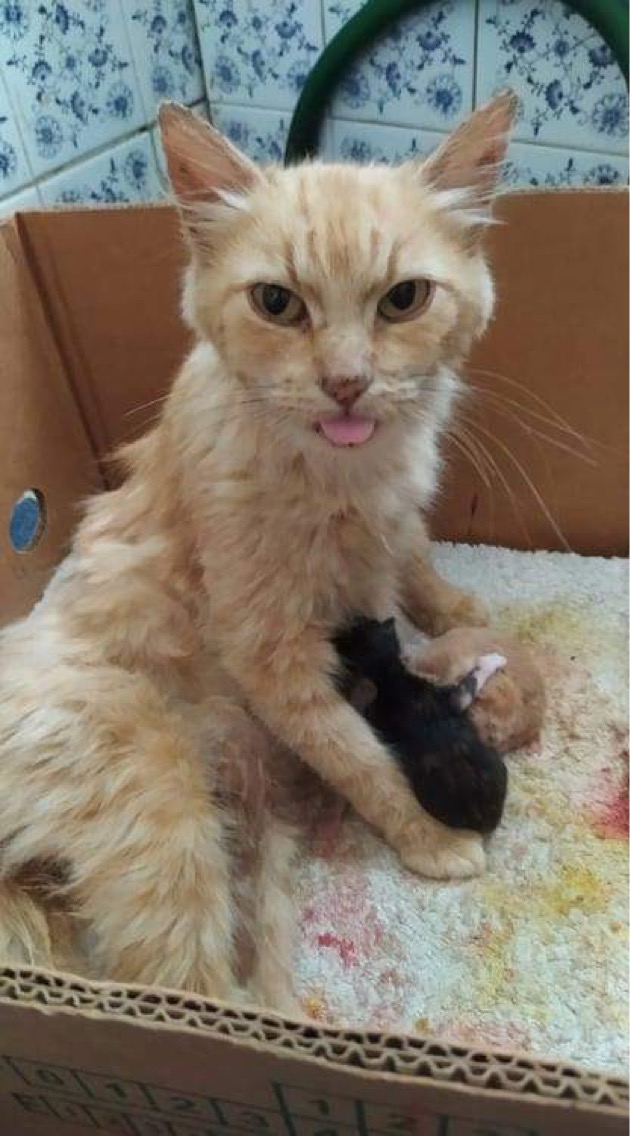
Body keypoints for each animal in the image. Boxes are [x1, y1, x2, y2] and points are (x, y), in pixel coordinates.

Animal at [0, 92, 517, 1007]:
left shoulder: (396, 523)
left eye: (404, 300)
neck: (347, 473)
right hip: (160, 812)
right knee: (174, 988)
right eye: (277, 304)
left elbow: (413, 558)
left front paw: (455, 605)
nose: (346, 383)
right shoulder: (270, 654)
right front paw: (424, 832)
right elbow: (357, 754)